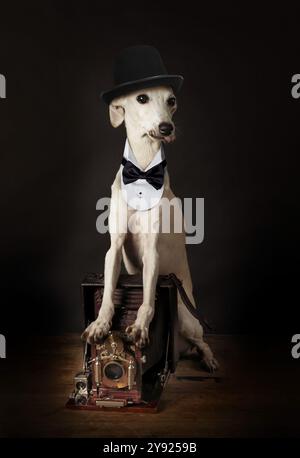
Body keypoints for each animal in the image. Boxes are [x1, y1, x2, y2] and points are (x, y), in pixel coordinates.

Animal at [82, 83, 218, 372]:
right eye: (142, 98)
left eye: (172, 100)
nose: (167, 128)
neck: (143, 170)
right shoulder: (114, 248)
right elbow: (108, 294)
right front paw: (100, 324)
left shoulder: (151, 251)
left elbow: (147, 300)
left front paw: (140, 328)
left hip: (187, 319)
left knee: (201, 341)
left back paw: (208, 358)